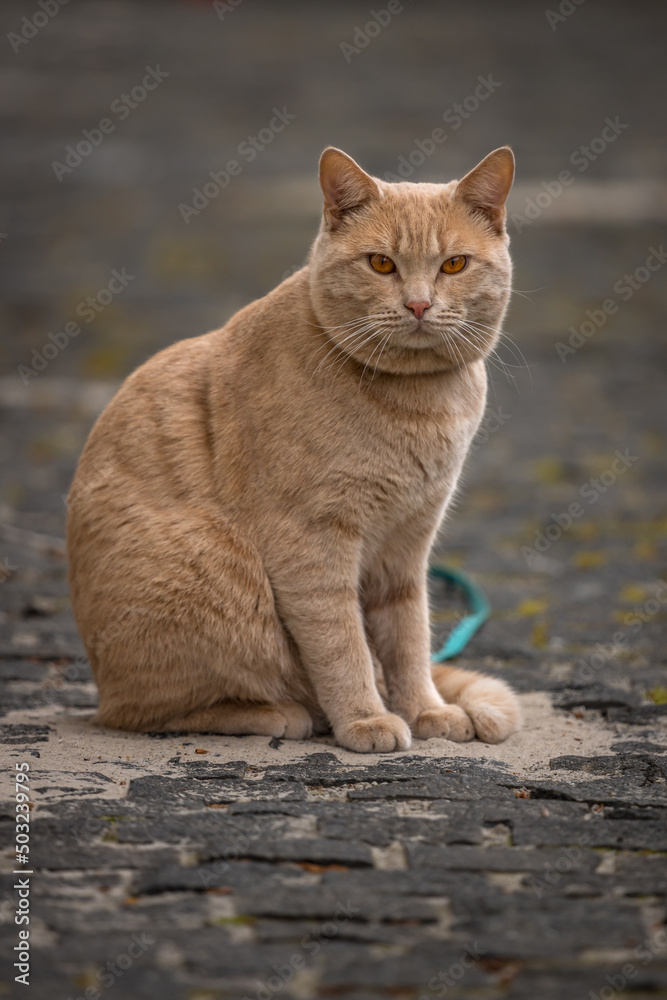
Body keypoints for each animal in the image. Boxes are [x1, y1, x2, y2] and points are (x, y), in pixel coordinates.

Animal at [69, 143, 528, 752]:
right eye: (381, 264)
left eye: (453, 265)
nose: (419, 305)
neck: (418, 403)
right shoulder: (312, 544)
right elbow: (342, 643)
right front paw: (366, 719)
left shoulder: (407, 545)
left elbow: (408, 640)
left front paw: (425, 709)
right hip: (208, 569)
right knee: (144, 711)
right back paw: (278, 713)